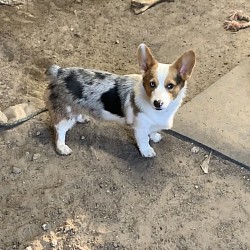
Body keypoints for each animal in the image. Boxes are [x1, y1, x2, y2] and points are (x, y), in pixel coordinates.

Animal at [45, 43, 195, 156]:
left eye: (170, 86)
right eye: (152, 84)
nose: (158, 103)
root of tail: (59, 72)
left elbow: (152, 131)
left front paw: (155, 136)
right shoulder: (140, 128)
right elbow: (143, 141)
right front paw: (147, 151)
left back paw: (82, 117)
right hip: (65, 114)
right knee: (59, 130)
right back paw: (62, 147)